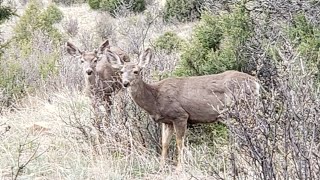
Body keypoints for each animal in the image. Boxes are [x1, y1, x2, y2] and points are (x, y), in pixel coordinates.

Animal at [109, 48, 258, 169]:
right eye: (121, 71)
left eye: (136, 71)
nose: (125, 83)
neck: (156, 98)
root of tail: (256, 83)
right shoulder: (167, 121)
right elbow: (164, 143)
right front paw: (161, 166)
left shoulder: (180, 115)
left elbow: (180, 142)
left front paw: (179, 168)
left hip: (243, 108)